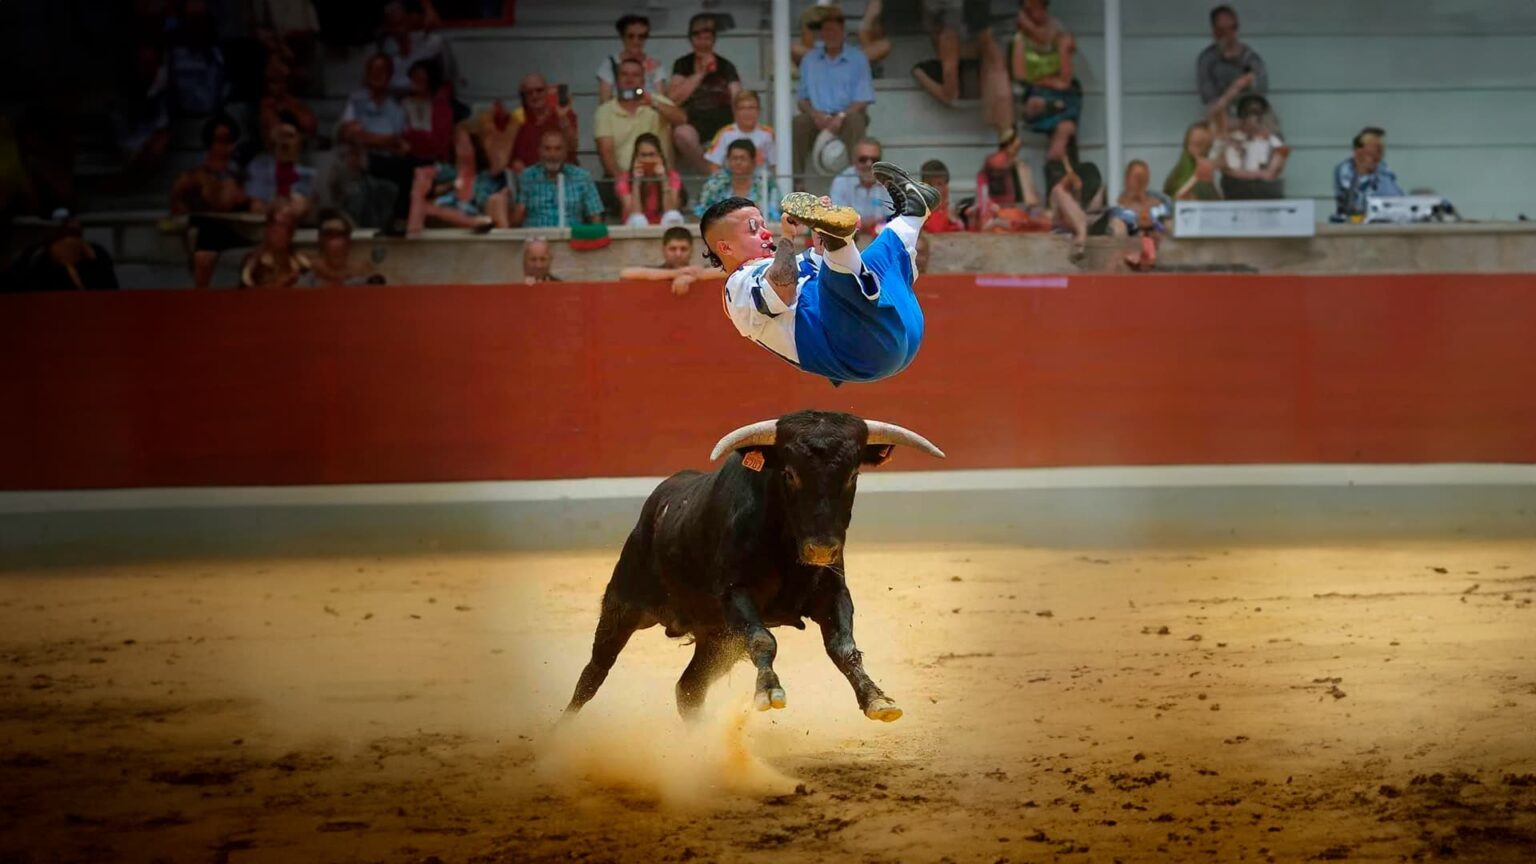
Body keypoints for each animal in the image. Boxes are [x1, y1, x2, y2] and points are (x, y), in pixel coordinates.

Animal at [565, 408, 940, 719]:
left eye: (852, 475)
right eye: (789, 473)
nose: (821, 549)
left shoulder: (833, 591)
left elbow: (844, 647)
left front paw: (877, 699)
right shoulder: (736, 593)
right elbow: (763, 640)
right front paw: (769, 692)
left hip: (719, 640)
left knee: (689, 687)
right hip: (624, 603)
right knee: (593, 673)